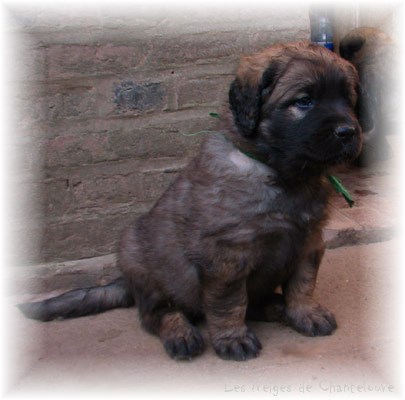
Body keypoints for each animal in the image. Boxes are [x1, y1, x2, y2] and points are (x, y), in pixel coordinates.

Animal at [19, 42, 362, 360]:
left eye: (347, 100)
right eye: (304, 101)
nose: (349, 131)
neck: (281, 174)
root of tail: (126, 280)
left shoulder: (309, 240)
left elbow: (302, 284)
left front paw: (306, 313)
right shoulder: (227, 254)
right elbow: (230, 302)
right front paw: (233, 338)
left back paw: (276, 307)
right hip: (146, 266)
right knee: (157, 314)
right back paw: (181, 334)